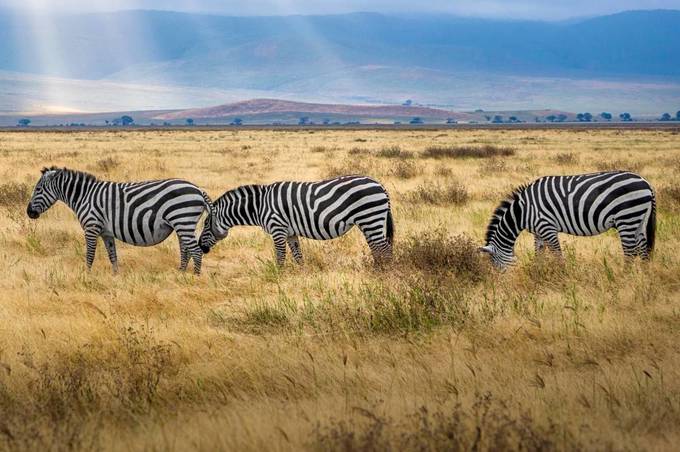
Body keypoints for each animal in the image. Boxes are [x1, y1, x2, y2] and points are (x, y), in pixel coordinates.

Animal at [26, 166, 212, 272]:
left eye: (38, 189)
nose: (29, 213)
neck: (84, 196)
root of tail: (198, 190)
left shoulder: (91, 227)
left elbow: (90, 255)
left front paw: (87, 276)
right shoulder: (106, 233)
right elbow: (112, 255)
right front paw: (116, 276)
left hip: (183, 220)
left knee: (196, 251)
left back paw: (194, 279)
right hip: (182, 224)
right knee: (186, 250)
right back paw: (181, 274)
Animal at [198, 174, 394, 264]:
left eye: (206, 224)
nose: (201, 247)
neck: (259, 206)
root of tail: (380, 185)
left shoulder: (277, 229)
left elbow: (280, 256)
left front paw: (278, 277)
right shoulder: (290, 232)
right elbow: (298, 255)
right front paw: (301, 275)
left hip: (370, 217)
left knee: (384, 248)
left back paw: (385, 273)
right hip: (370, 221)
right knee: (377, 248)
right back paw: (377, 270)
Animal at [480, 170, 656, 268]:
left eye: (495, 264)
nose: (501, 284)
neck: (523, 211)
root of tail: (646, 182)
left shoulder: (547, 227)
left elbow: (557, 255)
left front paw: (562, 276)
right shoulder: (538, 232)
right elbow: (539, 254)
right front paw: (537, 273)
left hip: (626, 217)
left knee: (630, 252)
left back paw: (624, 278)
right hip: (639, 220)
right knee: (643, 249)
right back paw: (644, 278)